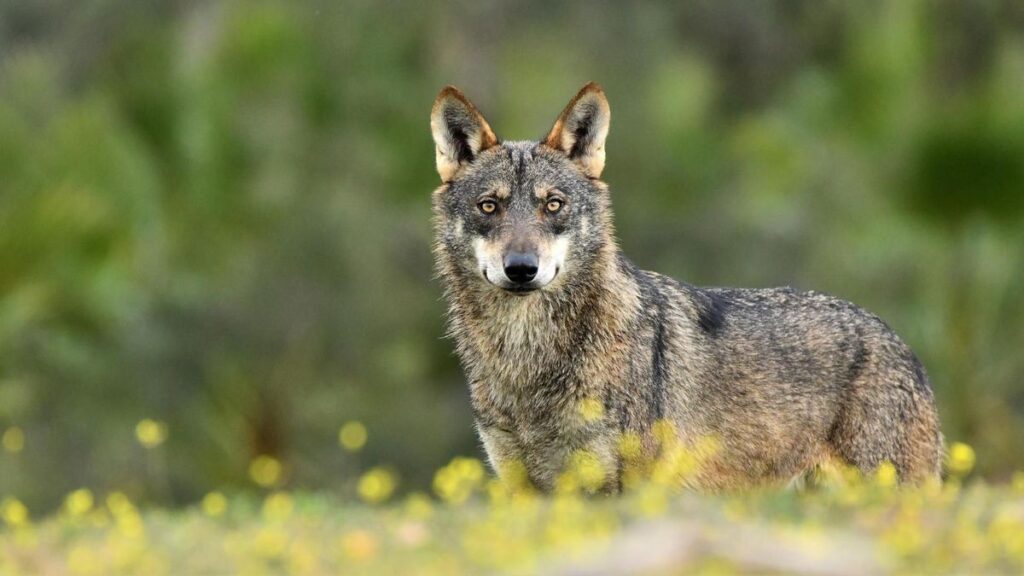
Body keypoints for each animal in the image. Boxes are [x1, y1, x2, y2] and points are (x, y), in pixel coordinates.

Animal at [430, 82, 942, 492]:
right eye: (489, 206)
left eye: (553, 205)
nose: (521, 268)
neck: (527, 361)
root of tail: (902, 344)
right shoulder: (524, 489)